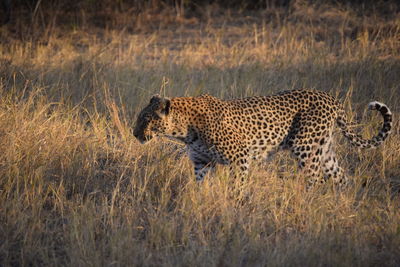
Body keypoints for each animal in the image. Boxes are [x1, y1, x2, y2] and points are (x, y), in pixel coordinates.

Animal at [133, 90, 392, 186]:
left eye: (145, 119)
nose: (134, 133)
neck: (184, 130)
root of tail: (331, 98)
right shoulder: (201, 162)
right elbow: (200, 185)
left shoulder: (240, 157)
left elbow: (238, 186)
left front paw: (235, 206)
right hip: (324, 150)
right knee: (341, 177)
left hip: (305, 147)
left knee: (315, 179)